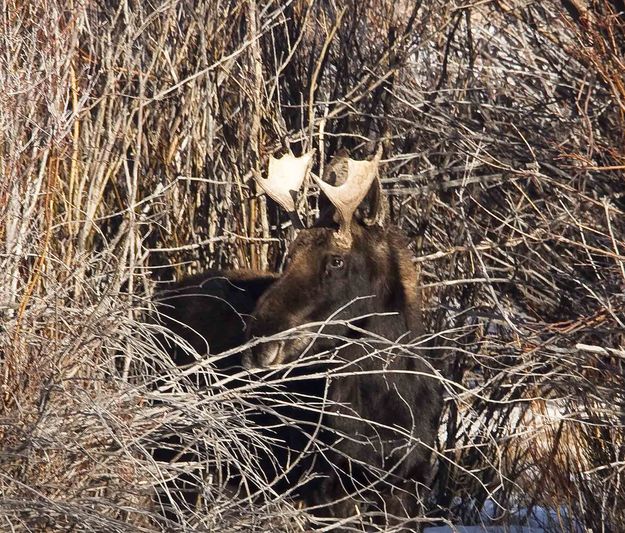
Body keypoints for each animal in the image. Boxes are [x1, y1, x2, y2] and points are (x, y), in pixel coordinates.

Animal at [154, 145, 442, 528]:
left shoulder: (410, 485)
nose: (259, 343)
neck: (387, 397)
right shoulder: (327, 486)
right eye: (289, 256)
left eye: (336, 261)